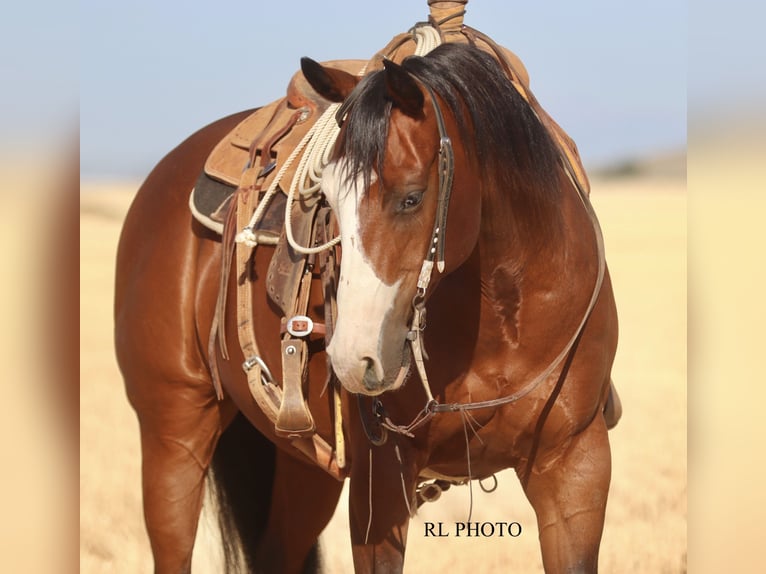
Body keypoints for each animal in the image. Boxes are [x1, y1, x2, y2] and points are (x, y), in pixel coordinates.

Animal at [115, 42, 619, 573]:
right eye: (329, 199)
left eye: (412, 197)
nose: (351, 360)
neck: (507, 320)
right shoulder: (381, 482)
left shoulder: (575, 465)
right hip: (175, 431)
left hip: (305, 467)